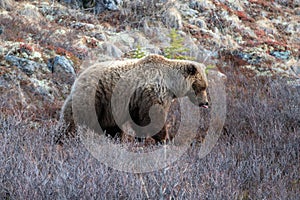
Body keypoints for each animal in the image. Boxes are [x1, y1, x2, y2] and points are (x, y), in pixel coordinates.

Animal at [58, 54, 209, 143]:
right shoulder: (154, 93)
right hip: (94, 96)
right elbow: (154, 118)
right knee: (74, 118)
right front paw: (164, 139)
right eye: (201, 87)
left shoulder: (138, 101)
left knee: (111, 126)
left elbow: (140, 120)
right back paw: (64, 136)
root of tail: (80, 76)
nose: (205, 102)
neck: (171, 84)